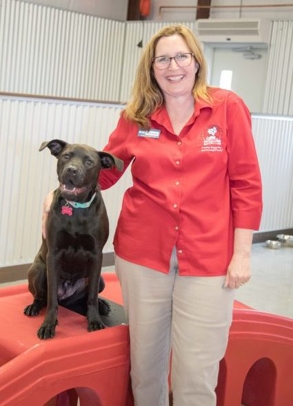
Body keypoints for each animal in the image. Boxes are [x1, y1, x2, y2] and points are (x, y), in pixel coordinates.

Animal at [23, 140, 122, 340]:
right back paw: (34, 307)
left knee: (87, 297)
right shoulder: (53, 254)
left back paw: (102, 305)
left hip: (101, 279)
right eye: (66, 156)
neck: (76, 207)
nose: (71, 170)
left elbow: (91, 297)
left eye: (89, 162)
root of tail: (67, 299)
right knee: (42, 296)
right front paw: (48, 325)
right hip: (38, 270)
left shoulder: (96, 255)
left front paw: (94, 321)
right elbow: (52, 299)